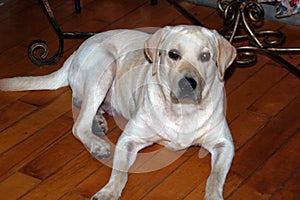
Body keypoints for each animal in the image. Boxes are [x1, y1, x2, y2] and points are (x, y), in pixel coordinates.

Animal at [0, 25, 237, 200]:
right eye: (173, 54)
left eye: (205, 56)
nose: (189, 83)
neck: (182, 110)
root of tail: (77, 50)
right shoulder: (129, 139)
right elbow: (120, 173)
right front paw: (109, 192)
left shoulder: (224, 145)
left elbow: (215, 177)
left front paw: (214, 196)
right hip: (105, 66)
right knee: (79, 122)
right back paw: (97, 143)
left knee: (81, 105)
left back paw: (99, 121)